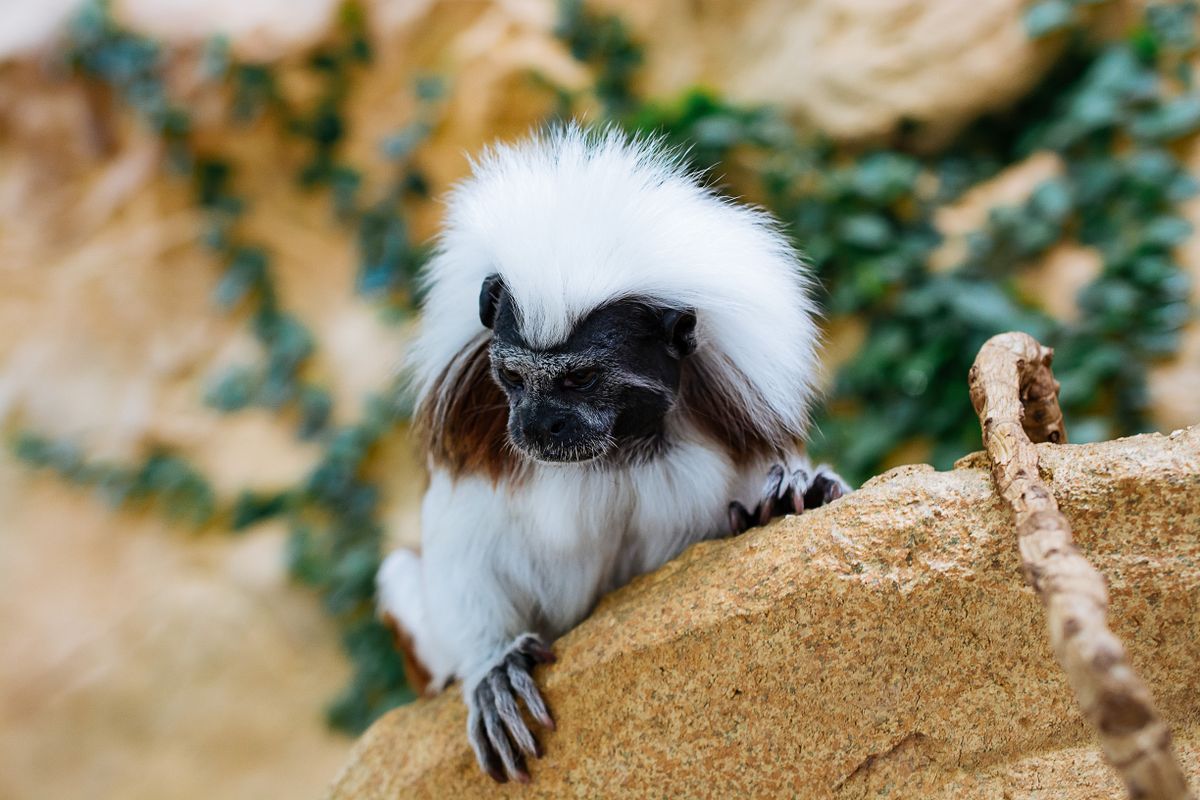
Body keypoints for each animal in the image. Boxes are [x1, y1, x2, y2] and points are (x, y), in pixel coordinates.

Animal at [376, 125, 849, 783]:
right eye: (513, 376)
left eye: (580, 380)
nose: (536, 426)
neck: (617, 453)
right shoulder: (480, 450)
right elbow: (463, 556)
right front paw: (493, 666)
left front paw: (793, 494)